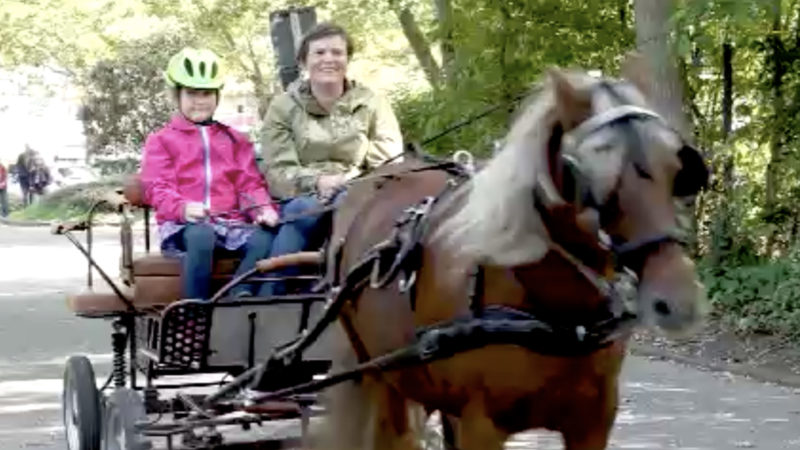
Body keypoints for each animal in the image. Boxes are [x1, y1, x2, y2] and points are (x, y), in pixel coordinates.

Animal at [316, 67, 708, 450]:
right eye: (593, 177)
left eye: (677, 170)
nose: (679, 302)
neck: (557, 314)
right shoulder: (480, 424)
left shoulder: (594, 420)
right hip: (379, 375)